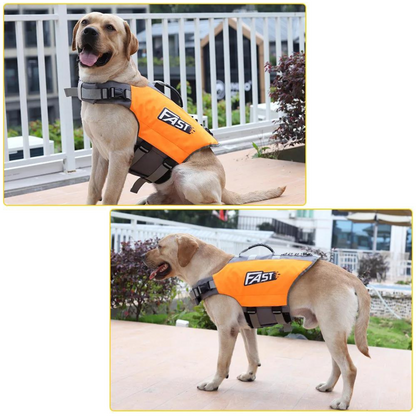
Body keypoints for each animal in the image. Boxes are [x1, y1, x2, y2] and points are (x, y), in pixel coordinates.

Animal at [72, 13, 286, 206]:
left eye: (109, 27)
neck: (108, 84)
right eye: (85, 21)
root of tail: (224, 187)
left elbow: (109, 195)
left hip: (184, 174)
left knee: (215, 203)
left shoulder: (120, 154)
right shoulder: (99, 154)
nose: (89, 31)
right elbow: (93, 188)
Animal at [143, 234, 370, 410]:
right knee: (337, 366)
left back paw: (343, 402)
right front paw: (249, 375)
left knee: (349, 369)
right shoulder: (246, 328)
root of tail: (349, 276)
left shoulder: (226, 329)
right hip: (330, 332)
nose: (142, 256)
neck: (210, 271)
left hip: (331, 331)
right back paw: (328, 387)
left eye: (159, 246)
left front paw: (213, 383)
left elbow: (221, 363)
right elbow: (252, 355)